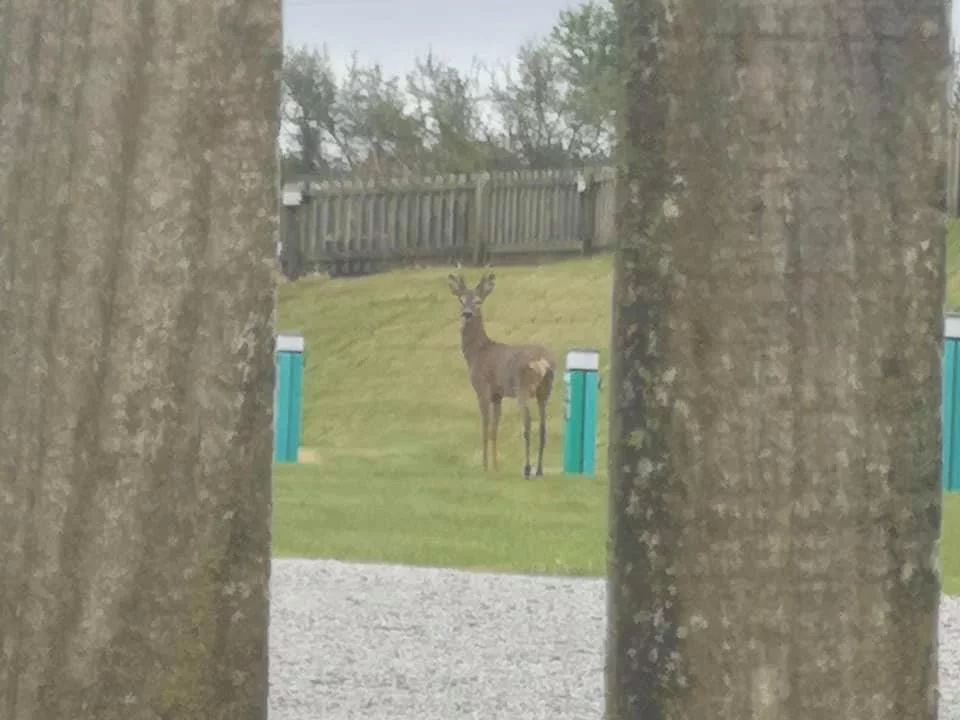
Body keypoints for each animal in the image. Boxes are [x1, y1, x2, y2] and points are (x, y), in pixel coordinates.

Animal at [448, 270, 560, 478]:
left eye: (478, 301)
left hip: (522, 386)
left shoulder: (482, 389)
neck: (477, 353)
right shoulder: (497, 395)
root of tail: (543, 361)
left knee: (527, 423)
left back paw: (527, 469)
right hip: (545, 390)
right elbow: (494, 429)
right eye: (461, 299)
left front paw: (484, 467)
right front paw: (495, 467)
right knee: (542, 427)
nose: (466, 314)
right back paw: (539, 470)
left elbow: (485, 427)